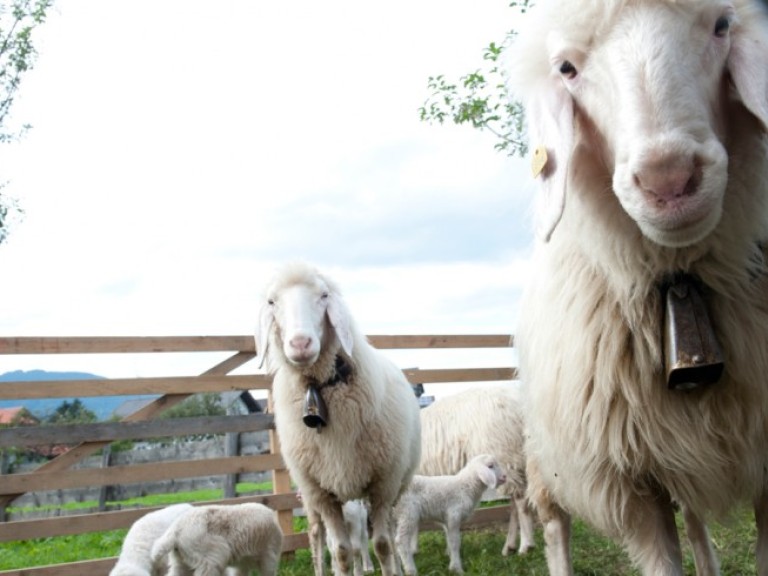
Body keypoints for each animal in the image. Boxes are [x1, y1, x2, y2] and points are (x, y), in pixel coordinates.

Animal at [258, 262, 424, 576]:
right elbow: (342, 552)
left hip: (397, 484)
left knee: (391, 532)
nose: (300, 343)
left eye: (324, 295)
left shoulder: (383, 483)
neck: (320, 388)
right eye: (271, 301)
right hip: (313, 500)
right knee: (316, 538)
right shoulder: (321, 493)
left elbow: (382, 545)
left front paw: (388, 565)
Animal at [420, 384, 536, 556]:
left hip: (503, 455)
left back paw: (525, 545)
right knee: (515, 503)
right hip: (513, 459)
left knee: (520, 501)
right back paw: (509, 546)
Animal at [508, 1, 768, 576]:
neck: (682, 280)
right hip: (545, 453)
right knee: (555, 524)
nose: (668, 180)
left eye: (721, 26)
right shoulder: (631, 486)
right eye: (566, 68)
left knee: (695, 520)